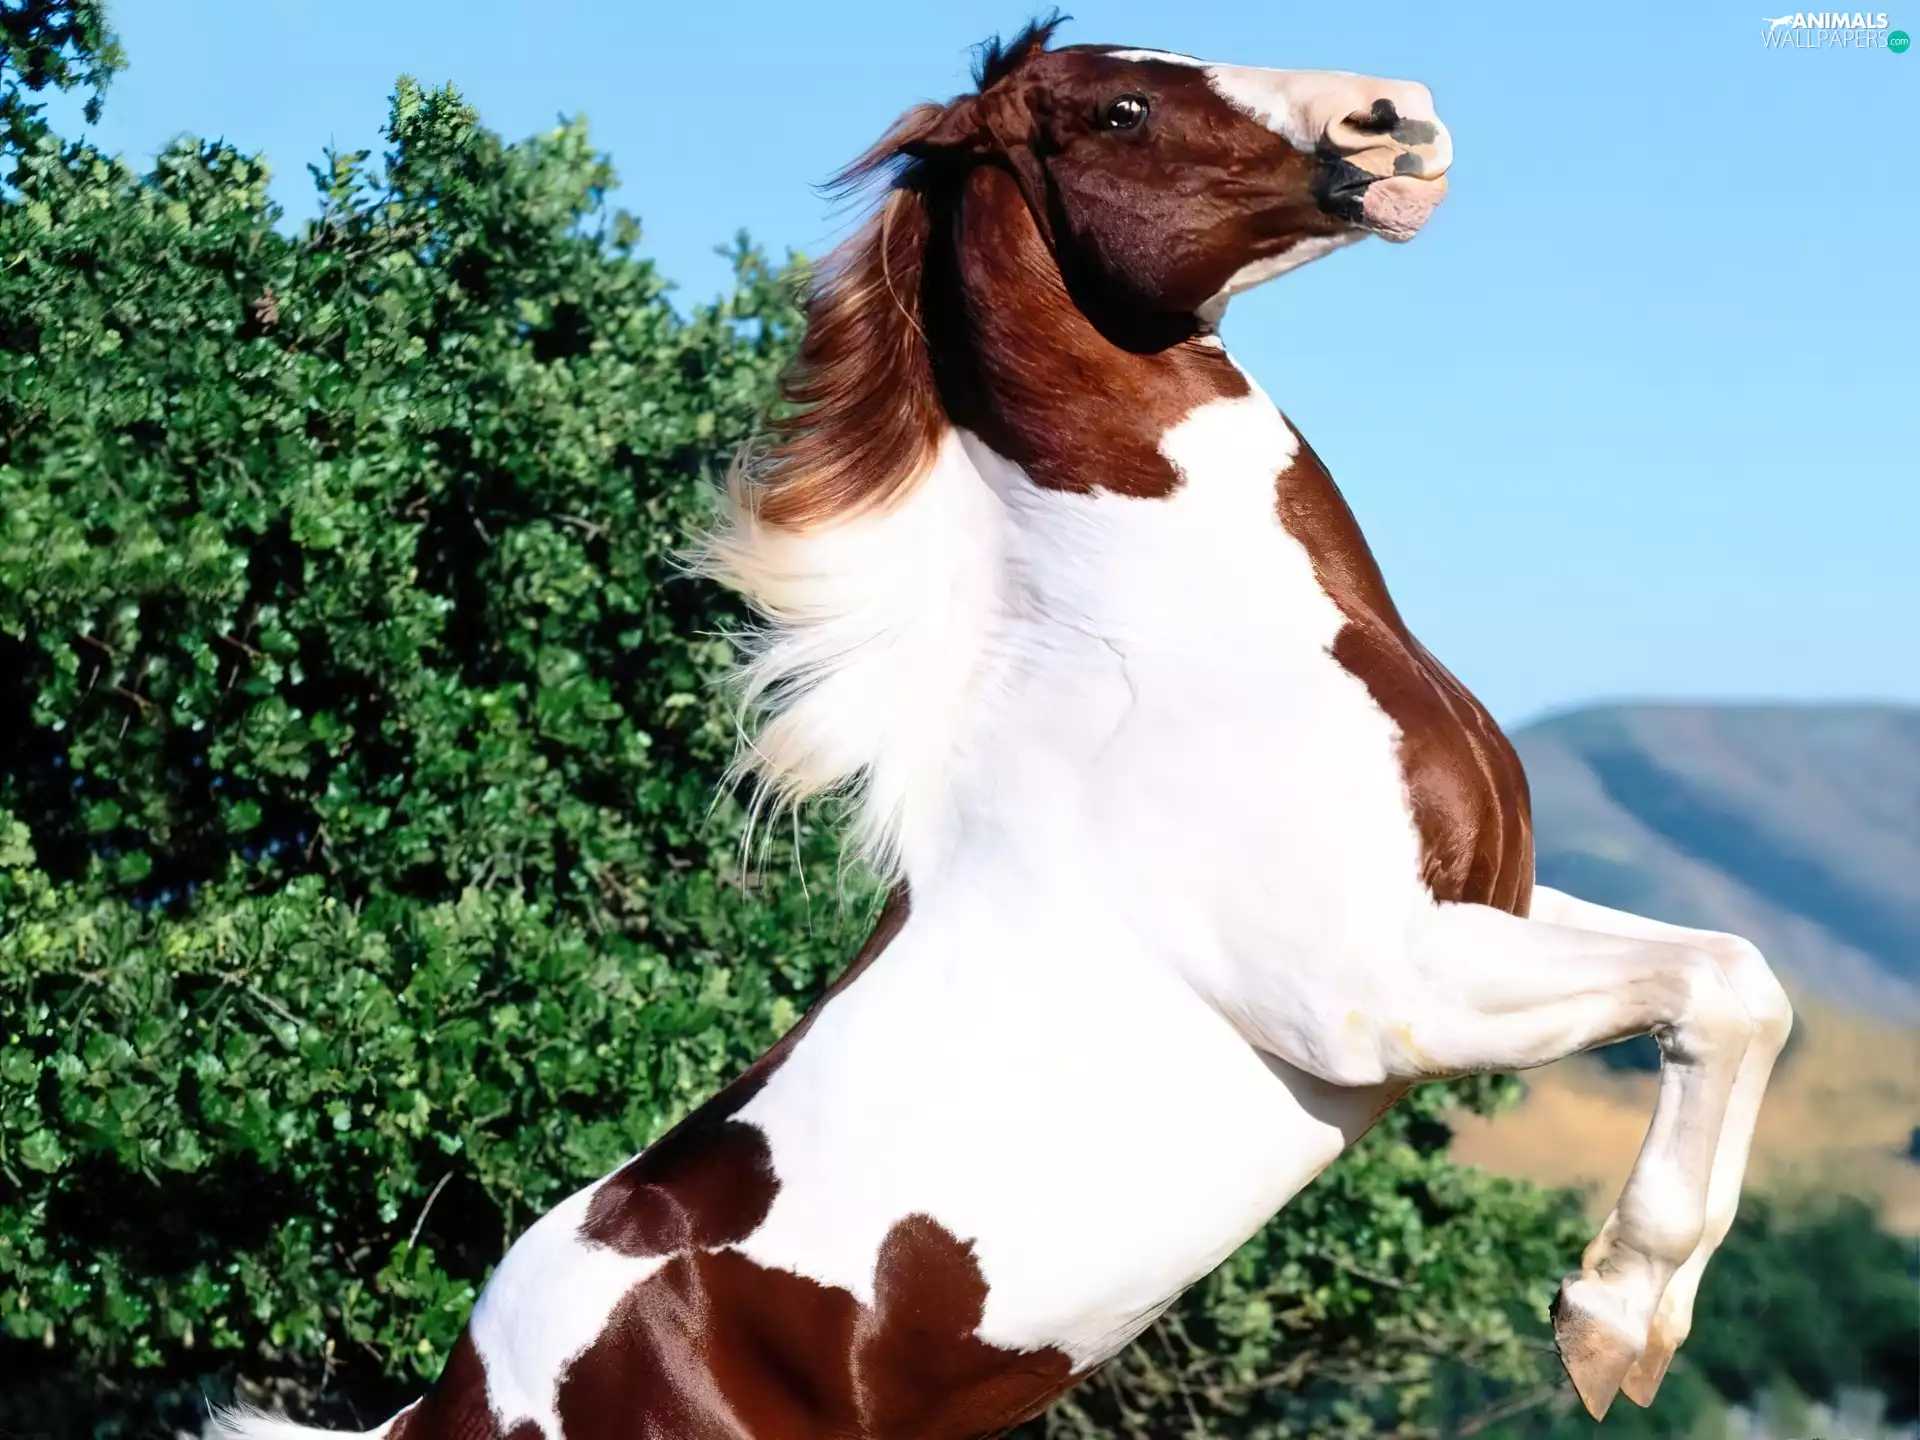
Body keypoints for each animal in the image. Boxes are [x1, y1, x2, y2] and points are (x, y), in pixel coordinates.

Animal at [215, 20, 1793, 1440]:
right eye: (1119, 109)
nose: (1396, 118)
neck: (1183, 652)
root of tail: (448, 1406)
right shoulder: (1386, 990)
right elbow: (1716, 990)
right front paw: (1608, 1327)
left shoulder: (1487, 905)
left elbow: (1743, 982)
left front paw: (1629, 1322)